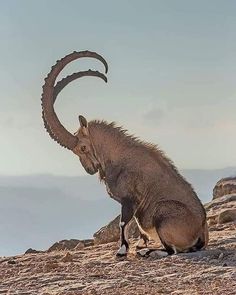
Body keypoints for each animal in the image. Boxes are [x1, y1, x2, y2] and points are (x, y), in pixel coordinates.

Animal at [41, 50, 208, 256]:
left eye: (83, 147)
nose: (90, 169)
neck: (117, 156)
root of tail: (201, 231)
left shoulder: (129, 200)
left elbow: (123, 222)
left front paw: (122, 250)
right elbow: (133, 224)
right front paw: (140, 243)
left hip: (162, 212)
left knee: (172, 251)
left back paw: (148, 252)